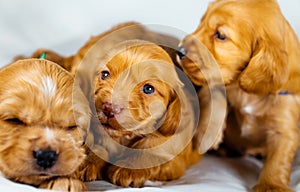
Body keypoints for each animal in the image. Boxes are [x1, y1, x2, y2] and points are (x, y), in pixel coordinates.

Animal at [177, 0, 300, 192]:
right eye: (201, 23)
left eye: (221, 35)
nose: (179, 50)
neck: (248, 94)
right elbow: (215, 93)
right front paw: (208, 133)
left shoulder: (285, 124)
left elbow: (278, 158)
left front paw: (271, 185)